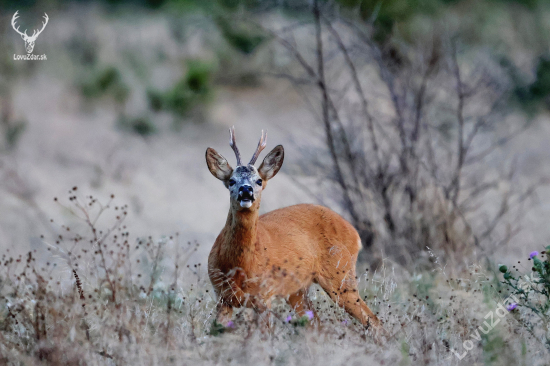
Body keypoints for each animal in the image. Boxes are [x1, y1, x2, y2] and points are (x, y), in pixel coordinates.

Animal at [207, 127, 384, 330]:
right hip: (299, 290)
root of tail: (354, 233)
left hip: (341, 274)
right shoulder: (221, 297)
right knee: (318, 323)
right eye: (231, 181)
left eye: (258, 181)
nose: (246, 190)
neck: (239, 267)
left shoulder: (264, 294)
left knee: (373, 320)